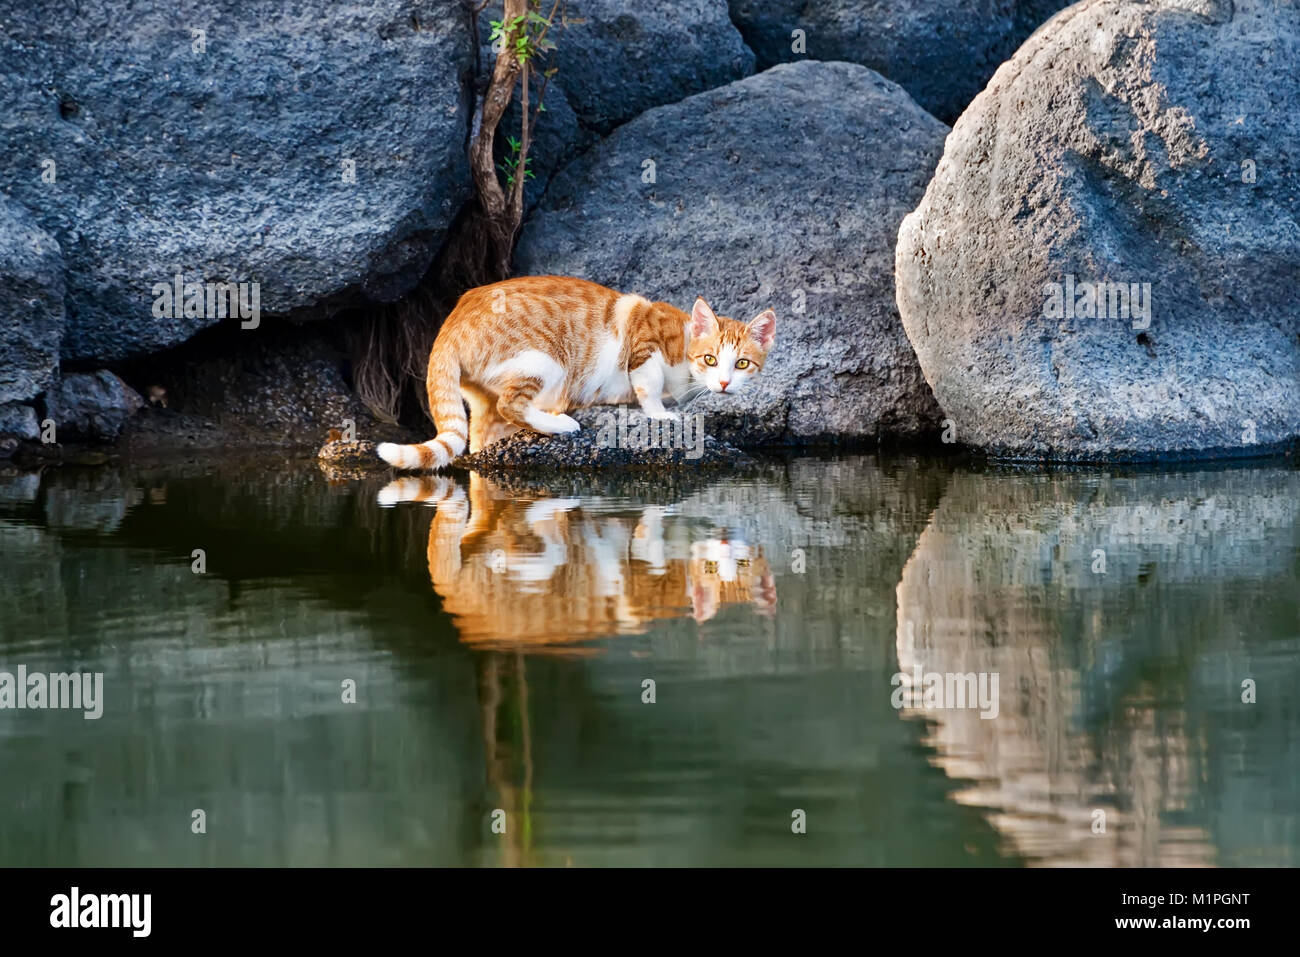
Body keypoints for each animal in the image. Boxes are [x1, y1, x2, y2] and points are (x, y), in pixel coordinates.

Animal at [379, 274, 774, 468]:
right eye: (710, 359)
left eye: (741, 364)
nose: (723, 382)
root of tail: (451, 322)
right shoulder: (644, 342)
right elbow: (648, 386)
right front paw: (661, 415)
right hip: (544, 357)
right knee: (512, 404)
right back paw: (561, 424)